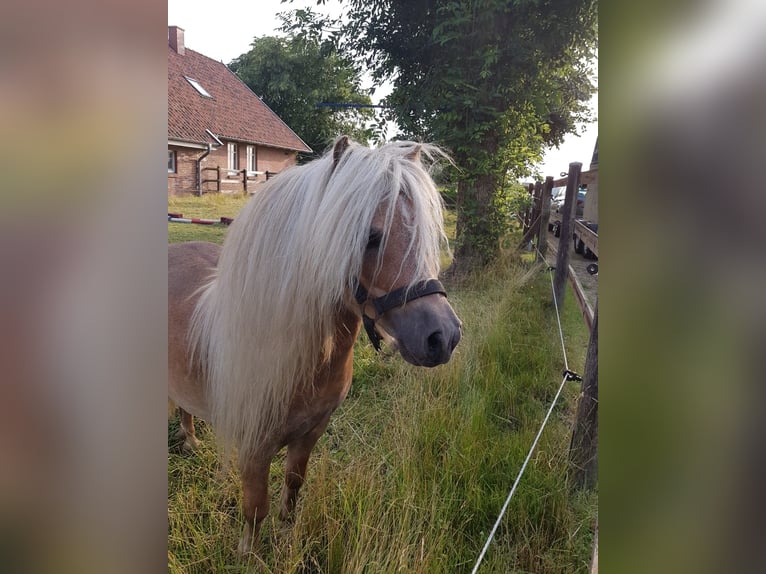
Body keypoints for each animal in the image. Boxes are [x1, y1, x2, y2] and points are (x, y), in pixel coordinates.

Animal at [170, 135, 462, 552]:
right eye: (368, 236)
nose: (443, 336)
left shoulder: (312, 432)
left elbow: (293, 485)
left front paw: (287, 537)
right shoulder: (254, 446)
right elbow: (255, 508)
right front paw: (249, 555)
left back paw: (190, 440)